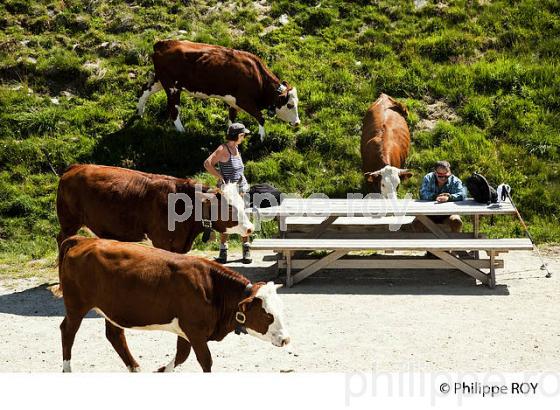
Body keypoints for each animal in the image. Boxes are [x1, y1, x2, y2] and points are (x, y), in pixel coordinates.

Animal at [53, 235, 290, 374]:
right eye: (268, 315)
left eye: (281, 310)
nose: (286, 339)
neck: (212, 288)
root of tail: (83, 240)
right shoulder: (194, 330)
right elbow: (205, 361)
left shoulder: (186, 331)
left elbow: (181, 356)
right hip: (76, 305)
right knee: (67, 331)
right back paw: (67, 368)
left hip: (113, 308)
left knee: (115, 335)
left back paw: (135, 368)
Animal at [55, 163, 254, 253]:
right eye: (230, 208)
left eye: (243, 203)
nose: (250, 228)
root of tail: (76, 167)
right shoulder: (162, 242)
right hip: (69, 221)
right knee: (62, 238)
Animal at [136, 39, 302, 140]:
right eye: (289, 105)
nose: (298, 122)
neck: (257, 76)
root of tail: (163, 43)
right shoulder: (244, 100)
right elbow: (260, 117)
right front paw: (261, 137)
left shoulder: (233, 102)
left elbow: (232, 118)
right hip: (172, 87)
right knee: (174, 110)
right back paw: (182, 132)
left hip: (160, 80)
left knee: (144, 91)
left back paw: (139, 113)